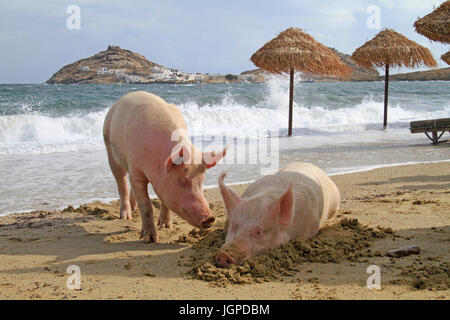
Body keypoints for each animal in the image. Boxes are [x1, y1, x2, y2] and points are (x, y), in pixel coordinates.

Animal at [103, 90, 227, 242]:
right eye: (182, 181)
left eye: (201, 181)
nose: (210, 218)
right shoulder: (136, 169)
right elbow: (146, 205)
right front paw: (149, 239)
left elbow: (164, 201)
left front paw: (166, 227)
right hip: (108, 143)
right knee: (121, 182)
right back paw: (126, 217)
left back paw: (133, 210)